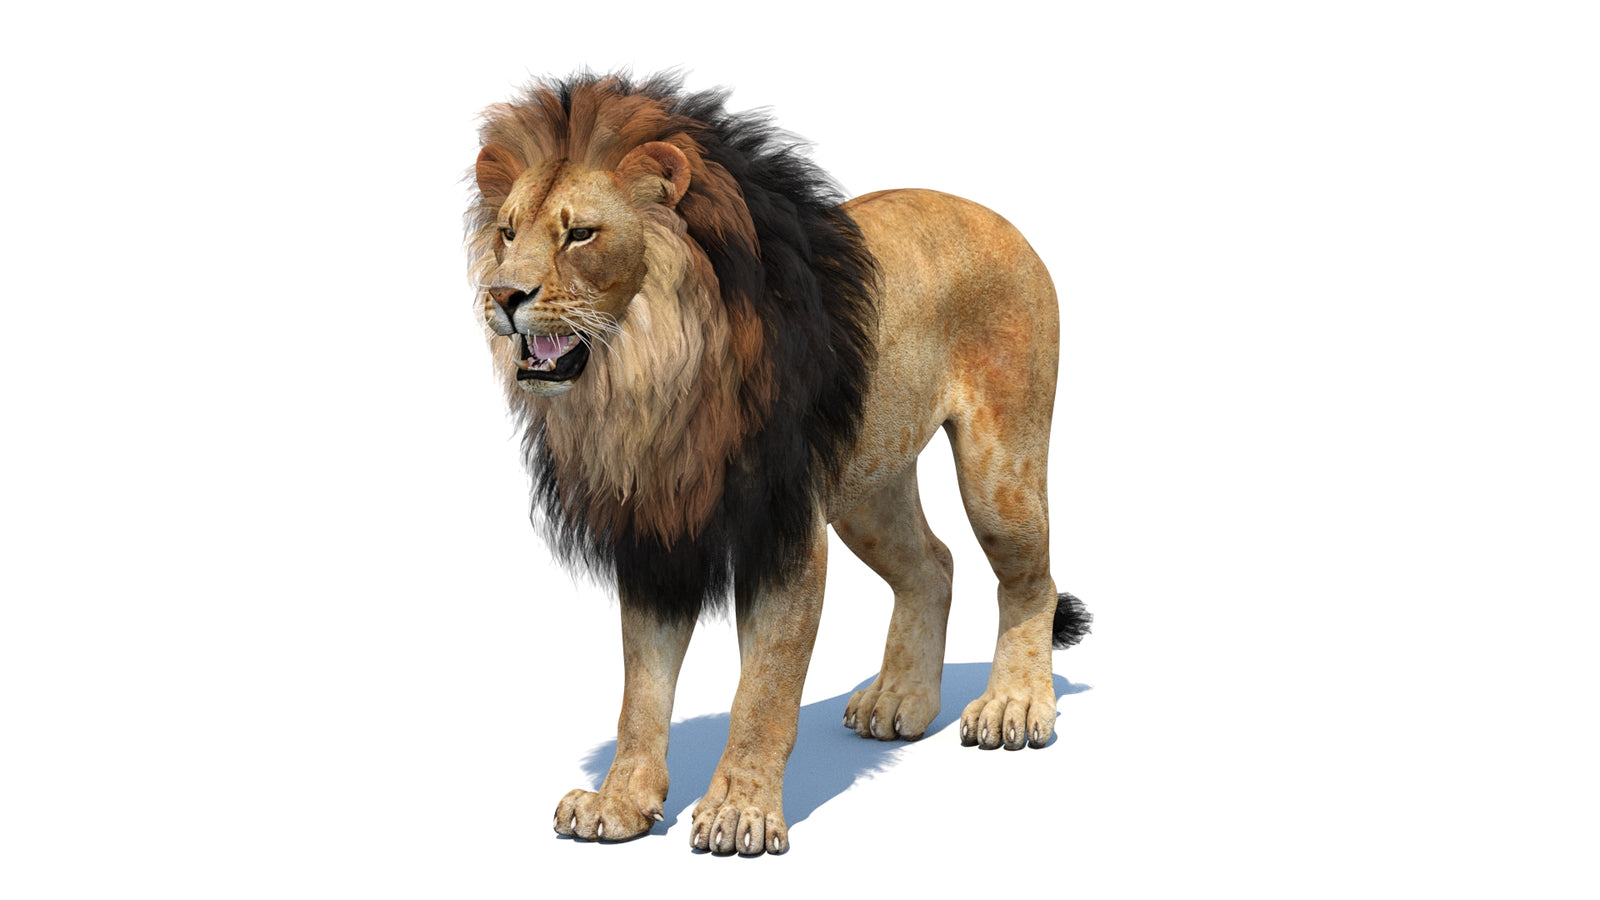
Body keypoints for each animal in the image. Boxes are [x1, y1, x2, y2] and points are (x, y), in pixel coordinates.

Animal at [466, 73, 1090, 856]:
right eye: (507, 232)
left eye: (580, 233)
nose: (502, 296)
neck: (648, 380)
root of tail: (998, 218)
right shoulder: (656, 536)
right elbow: (642, 691)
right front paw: (620, 803)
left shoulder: (783, 531)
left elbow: (762, 690)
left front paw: (740, 810)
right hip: (869, 486)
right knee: (934, 565)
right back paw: (901, 699)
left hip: (997, 471)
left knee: (1031, 579)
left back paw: (1015, 704)